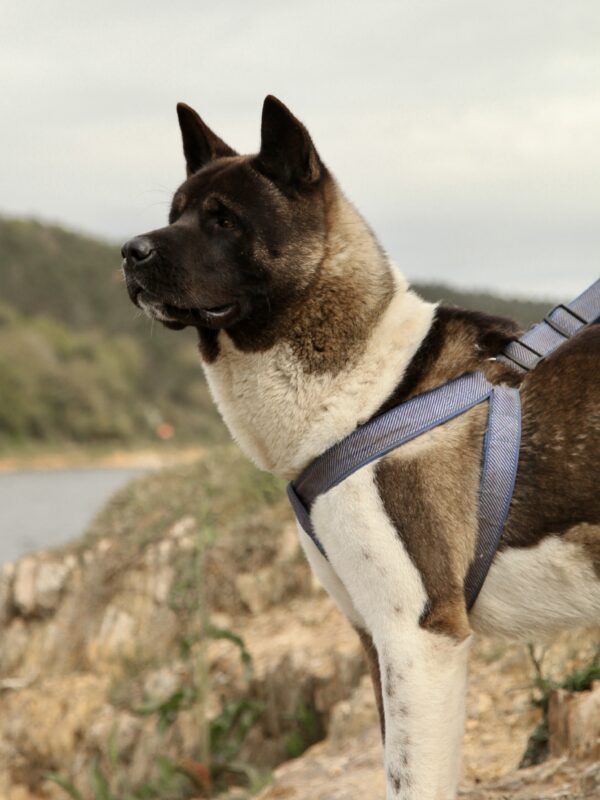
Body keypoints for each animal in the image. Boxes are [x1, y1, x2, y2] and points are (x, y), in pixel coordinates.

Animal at [122, 95, 600, 800]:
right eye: (175, 212)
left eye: (223, 219)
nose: (129, 252)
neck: (366, 391)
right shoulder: (376, 640)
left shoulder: (419, 638)